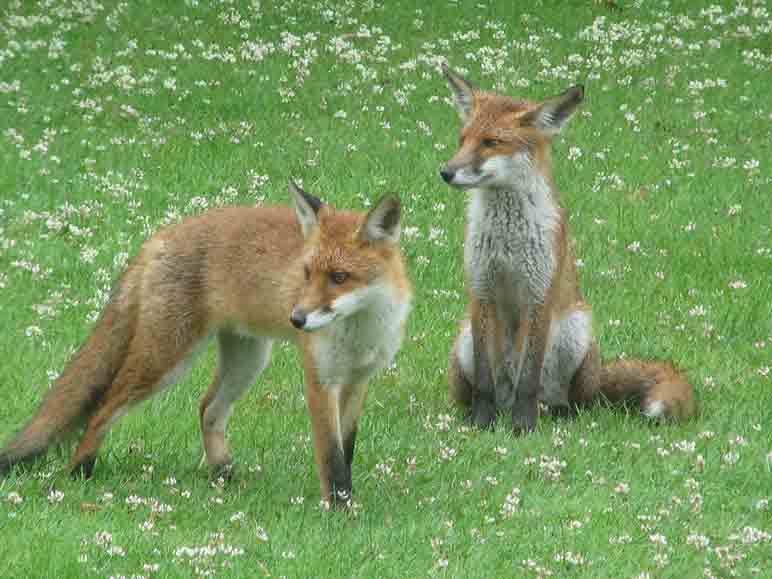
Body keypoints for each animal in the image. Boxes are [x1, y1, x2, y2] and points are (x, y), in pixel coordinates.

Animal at [0, 182, 412, 506]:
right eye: (307, 274)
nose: (296, 319)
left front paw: (347, 501)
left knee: (207, 408)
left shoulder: (358, 380)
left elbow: (348, 449)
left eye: (340, 277)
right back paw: (79, 473)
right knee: (103, 409)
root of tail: (161, 235)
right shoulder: (320, 380)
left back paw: (223, 475)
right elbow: (331, 457)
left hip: (248, 360)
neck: (360, 331)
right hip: (166, 358)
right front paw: (340, 511)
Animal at [440, 64, 695, 432]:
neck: (507, 238)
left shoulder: (539, 293)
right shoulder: (481, 288)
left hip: (576, 331)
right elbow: (486, 380)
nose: (445, 172)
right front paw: (482, 423)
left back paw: (554, 413)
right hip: (464, 341)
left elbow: (528, 376)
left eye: (492, 143)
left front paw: (523, 428)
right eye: (463, 140)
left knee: (568, 399)